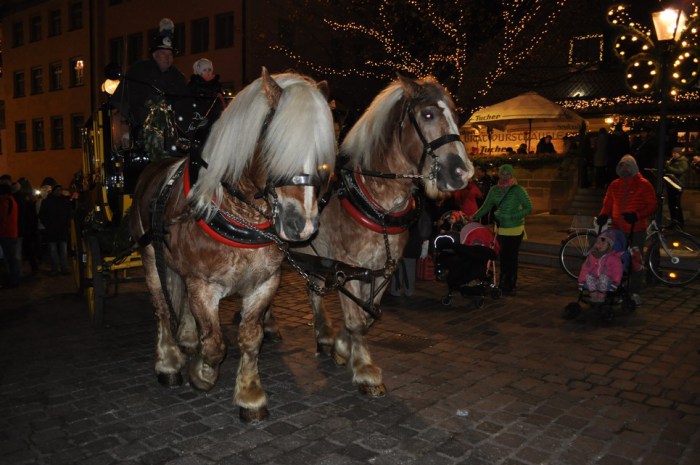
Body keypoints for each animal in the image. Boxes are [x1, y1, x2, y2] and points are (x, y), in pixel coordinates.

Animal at [131, 68, 340, 420]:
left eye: (323, 158)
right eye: (275, 147)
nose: (303, 225)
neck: (240, 214)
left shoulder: (265, 283)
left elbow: (250, 338)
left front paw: (250, 395)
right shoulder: (203, 285)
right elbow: (215, 344)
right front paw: (202, 373)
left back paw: (187, 339)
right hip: (150, 258)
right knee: (161, 308)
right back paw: (169, 362)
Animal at [288, 74, 474, 396]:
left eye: (455, 115)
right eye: (428, 114)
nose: (462, 172)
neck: (375, 202)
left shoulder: (381, 269)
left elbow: (365, 317)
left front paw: (344, 347)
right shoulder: (347, 268)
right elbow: (355, 319)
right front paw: (364, 370)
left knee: (314, 291)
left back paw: (323, 337)